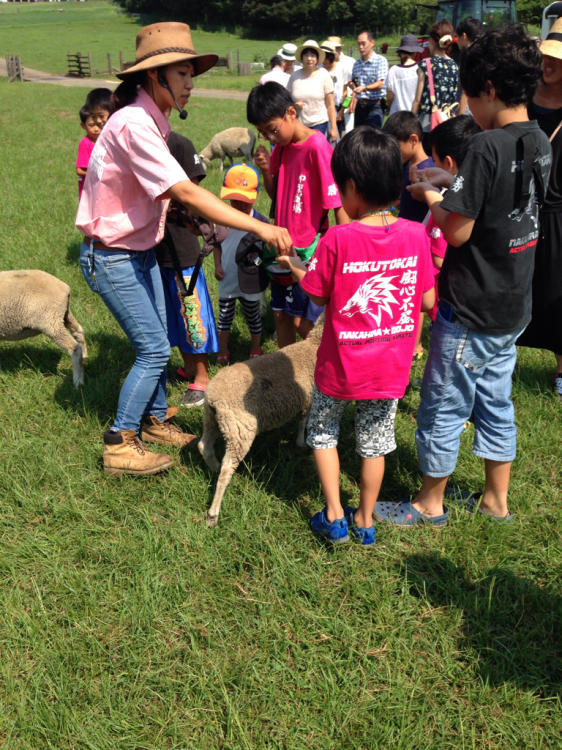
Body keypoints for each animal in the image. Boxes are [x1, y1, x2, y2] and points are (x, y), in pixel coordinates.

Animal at [197, 320, 322, 532]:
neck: (314, 344)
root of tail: (213, 398)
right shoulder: (309, 399)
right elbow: (303, 422)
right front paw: (301, 443)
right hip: (240, 429)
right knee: (226, 469)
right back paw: (213, 514)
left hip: (213, 420)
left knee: (203, 446)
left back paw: (213, 468)